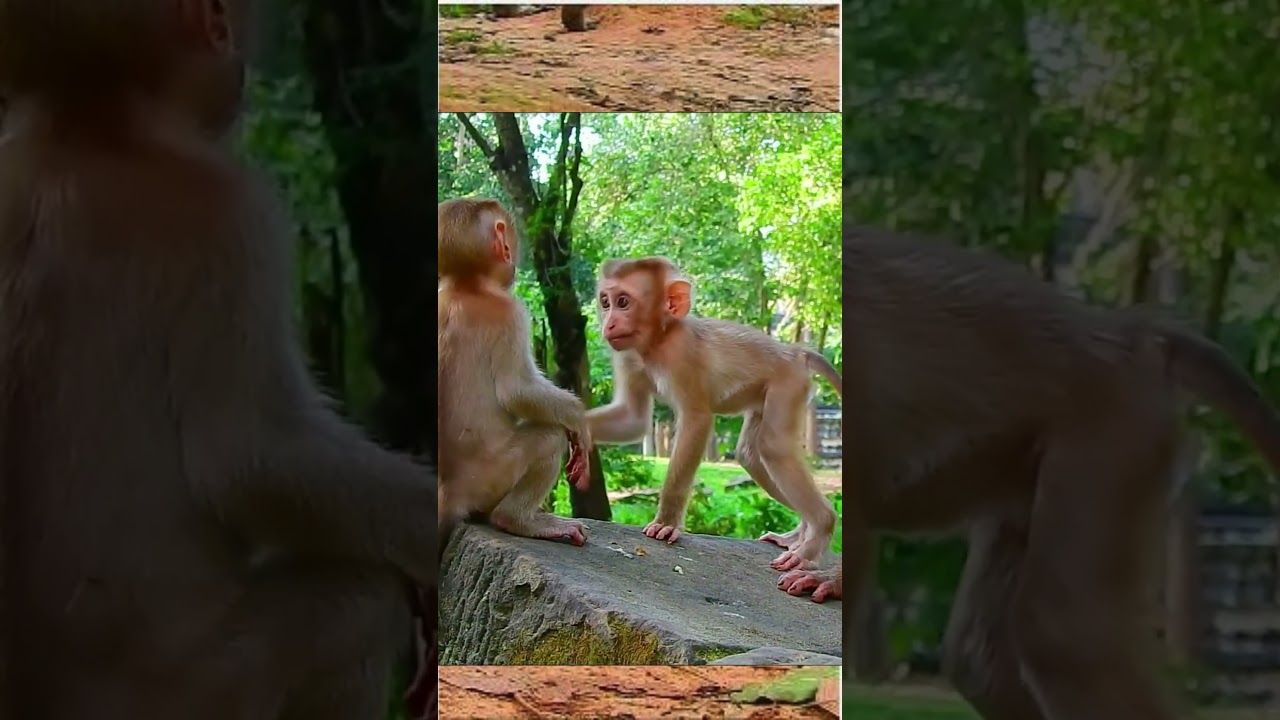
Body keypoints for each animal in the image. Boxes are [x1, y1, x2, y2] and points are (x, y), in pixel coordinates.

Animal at [0, 1, 440, 718]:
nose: (237, 69)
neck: (86, 122)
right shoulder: (239, 213)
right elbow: (252, 455)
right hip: (207, 689)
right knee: (362, 600)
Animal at [438, 197, 593, 549]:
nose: (513, 255)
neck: (465, 285)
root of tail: (451, 494)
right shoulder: (512, 312)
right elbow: (517, 390)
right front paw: (579, 420)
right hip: (493, 475)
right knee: (549, 436)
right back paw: (517, 519)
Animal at [586, 257, 842, 572]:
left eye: (623, 302)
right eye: (605, 302)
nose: (608, 323)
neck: (659, 339)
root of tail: (795, 352)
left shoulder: (682, 355)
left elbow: (697, 419)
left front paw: (666, 523)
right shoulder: (628, 356)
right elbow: (632, 419)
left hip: (788, 384)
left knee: (772, 447)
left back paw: (817, 533)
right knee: (750, 454)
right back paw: (799, 534)